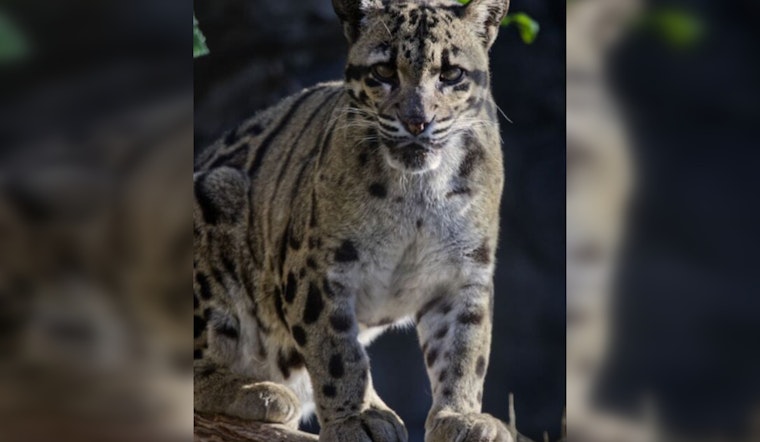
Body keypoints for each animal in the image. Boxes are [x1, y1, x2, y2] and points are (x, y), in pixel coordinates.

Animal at [193, 0, 513, 441]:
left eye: (451, 74)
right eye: (384, 71)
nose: (417, 122)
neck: (419, 192)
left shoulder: (465, 270)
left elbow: (465, 350)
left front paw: (461, 416)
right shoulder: (319, 269)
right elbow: (337, 350)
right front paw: (356, 417)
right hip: (211, 192)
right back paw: (260, 392)